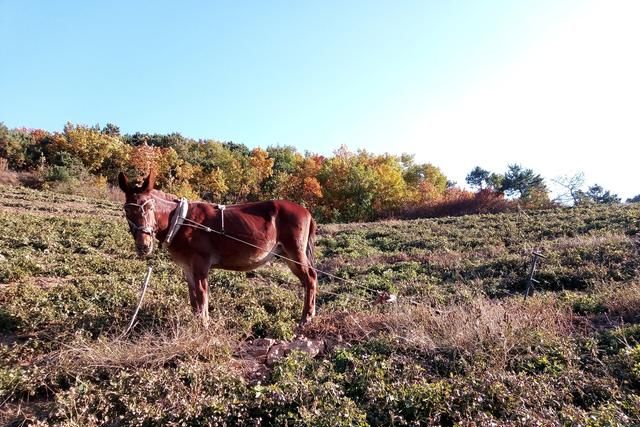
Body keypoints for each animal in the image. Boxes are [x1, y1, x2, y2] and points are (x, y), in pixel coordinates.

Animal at [117, 171, 318, 324]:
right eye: (127, 211)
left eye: (149, 207)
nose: (143, 246)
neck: (180, 221)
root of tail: (307, 212)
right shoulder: (188, 267)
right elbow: (193, 298)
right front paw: (195, 323)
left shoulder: (201, 264)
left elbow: (202, 296)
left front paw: (204, 325)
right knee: (309, 279)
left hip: (294, 252)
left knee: (310, 278)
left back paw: (306, 318)